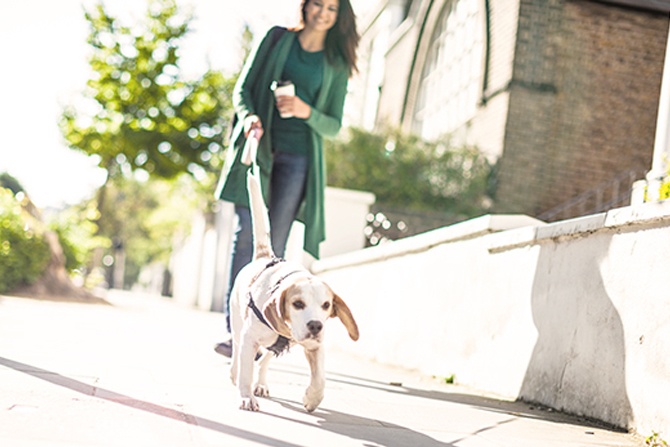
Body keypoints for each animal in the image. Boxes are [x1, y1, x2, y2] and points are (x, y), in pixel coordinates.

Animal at [228, 165, 360, 412]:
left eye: (326, 306)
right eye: (298, 304)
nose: (316, 325)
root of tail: (265, 256)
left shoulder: (314, 347)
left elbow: (320, 379)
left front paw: (312, 398)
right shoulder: (250, 339)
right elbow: (246, 371)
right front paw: (246, 396)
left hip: (276, 347)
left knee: (265, 360)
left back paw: (261, 384)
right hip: (238, 325)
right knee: (237, 352)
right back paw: (235, 373)